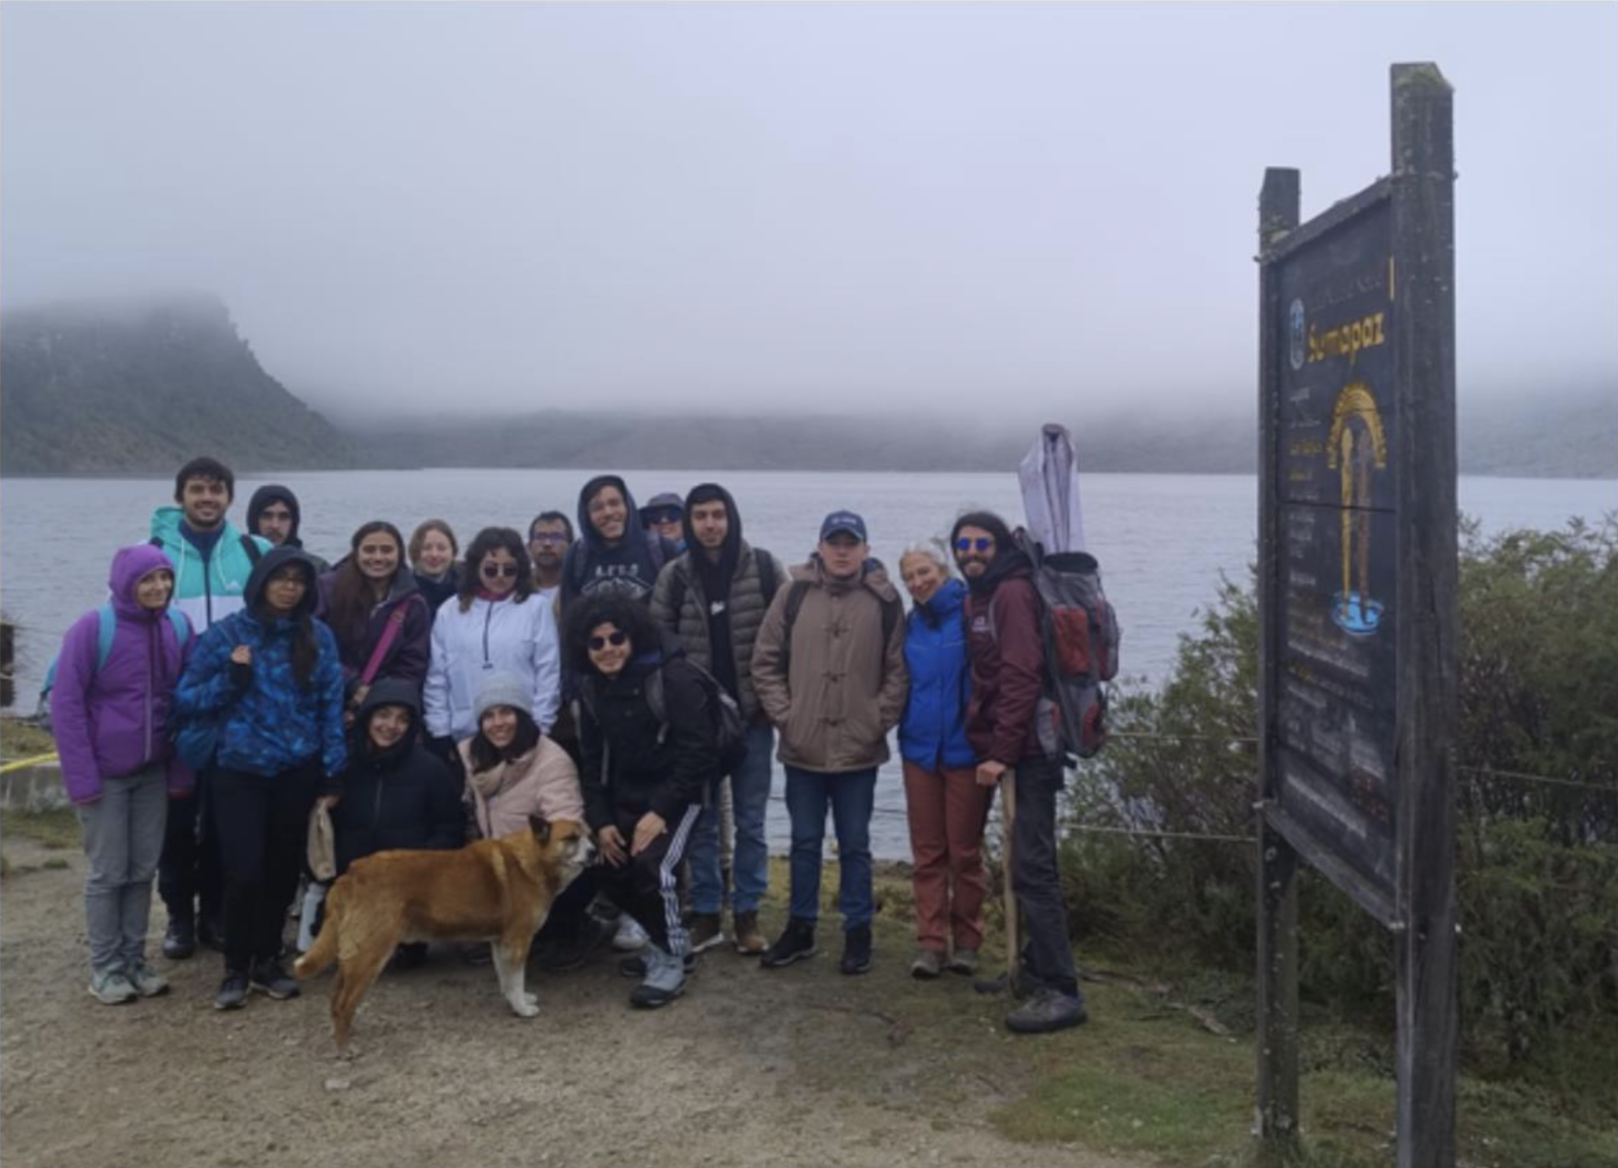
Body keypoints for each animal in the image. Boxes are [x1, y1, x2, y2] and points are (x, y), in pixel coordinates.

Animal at [292, 808, 595, 1048]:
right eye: (571, 838)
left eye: (589, 835)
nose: (595, 851)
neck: (532, 859)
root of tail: (353, 872)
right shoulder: (517, 940)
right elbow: (516, 978)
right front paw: (522, 1008)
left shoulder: (500, 942)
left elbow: (506, 979)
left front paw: (513, 1001)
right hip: (371, 953)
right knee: (344, 1002)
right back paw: (345, 1047)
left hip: (355, 954)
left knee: (335, 998)